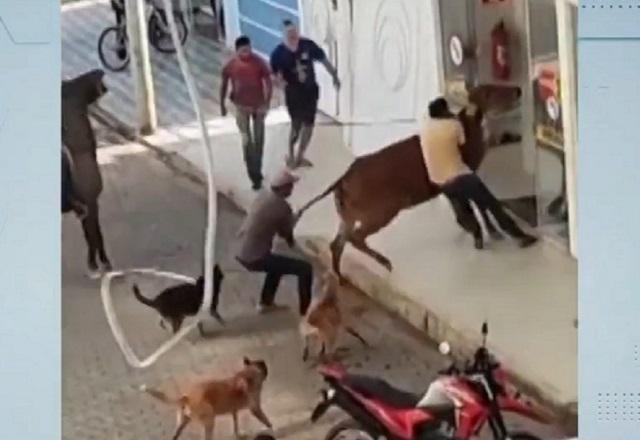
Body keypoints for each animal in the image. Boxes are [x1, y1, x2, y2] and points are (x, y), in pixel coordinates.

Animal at [142, 360, 272, 438]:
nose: (266, 365)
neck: (249, 373)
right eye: (263, 366)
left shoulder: (233, 410)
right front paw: (269, 427)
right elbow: (266, 420)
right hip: (210, 419)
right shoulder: (255, 408)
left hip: (183, 422)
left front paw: (238, 434)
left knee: (175, 436)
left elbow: (235, 424)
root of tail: (187, 397)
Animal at [298, 84, 524, 280]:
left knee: (336, 243)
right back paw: (386, 263)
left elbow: (465, 209)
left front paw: (475, 229)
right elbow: (478, 205)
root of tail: (341, 181)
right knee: (355, 238)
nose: (518, 90)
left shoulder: (452, 184)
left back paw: (341, 277)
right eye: (490, 92)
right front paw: (491, 232)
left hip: (348, 215)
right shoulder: (467, 171)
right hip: (381, 210)